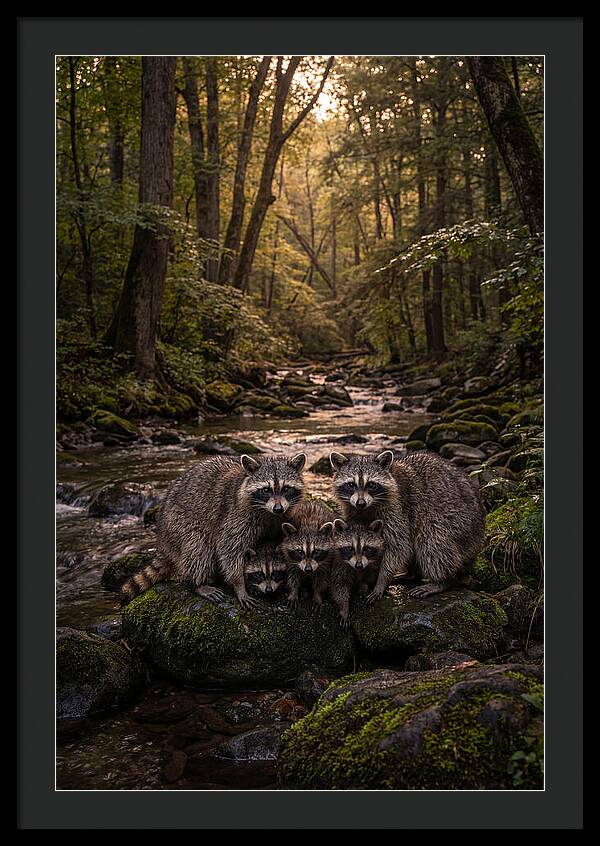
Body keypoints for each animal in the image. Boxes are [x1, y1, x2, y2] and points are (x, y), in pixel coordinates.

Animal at [121, 452, 306, 608]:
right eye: (266, 490)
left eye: (286, 488)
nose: (278, 508)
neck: (269, 513)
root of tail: (162, 539)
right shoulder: (236, 516)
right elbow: (229, 550)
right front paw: (239, 584)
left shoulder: (281, 518)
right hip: (178, 524)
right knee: (198, 548)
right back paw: (198, 583)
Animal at [329, 449, 485, 601]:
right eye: (351, 485)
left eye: (371, 485)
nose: (360, 503)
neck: (367, 508)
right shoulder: (351, 509)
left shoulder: (397, 508)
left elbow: (398, 546)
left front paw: (381, 580)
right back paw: (412, 574)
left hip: (457, 522)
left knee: (432, 541)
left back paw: (441, 581)